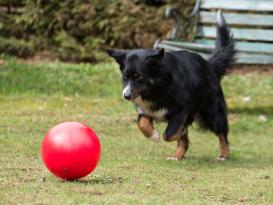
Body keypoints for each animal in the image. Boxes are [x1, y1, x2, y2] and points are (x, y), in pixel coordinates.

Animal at [107, 11, 235, 161]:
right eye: (125, 76)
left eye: (139, 77)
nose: (126, 96)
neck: (157, 87)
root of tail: (209, 65)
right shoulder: (146, 110)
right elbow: (142, 123)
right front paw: (154, 135)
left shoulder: (181, 110)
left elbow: (169, 134)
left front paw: (171, 133)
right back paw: (177, 155)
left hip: (212, 111)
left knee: (222, 133)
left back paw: (224, 155)